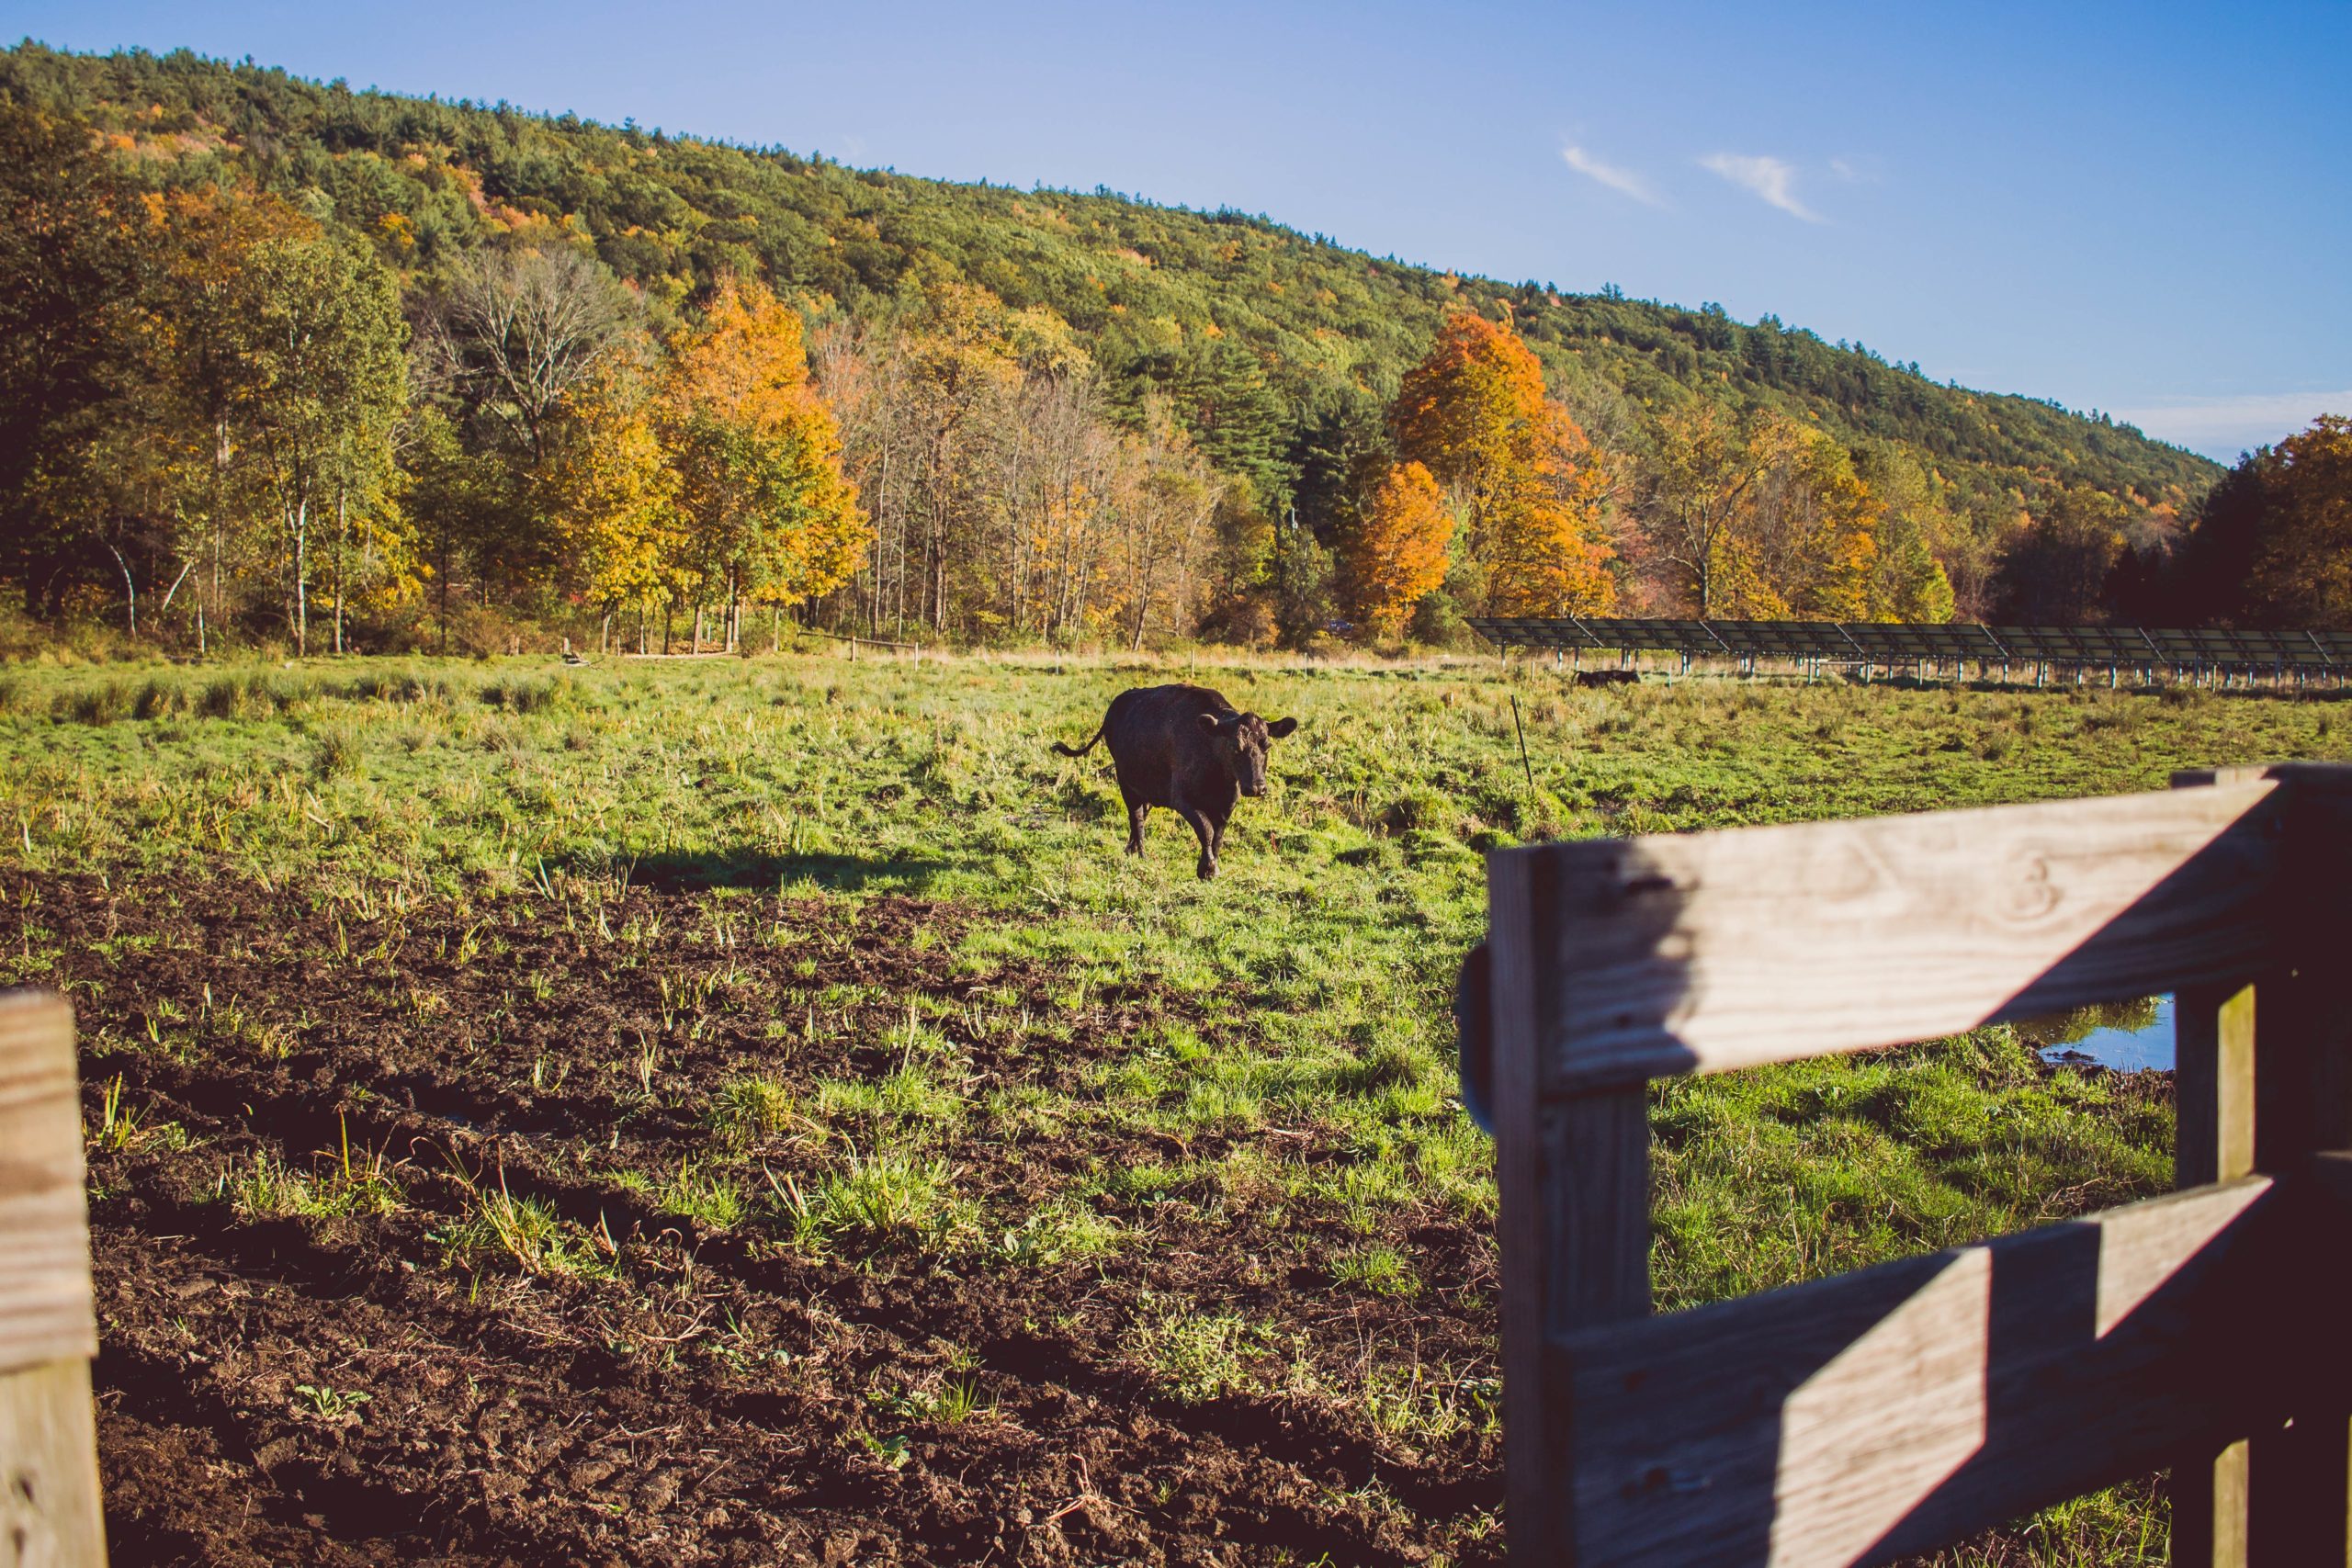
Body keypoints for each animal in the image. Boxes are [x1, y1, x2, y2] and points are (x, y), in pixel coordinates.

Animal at [1053, 686, 1298, 884]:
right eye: (1235, 747)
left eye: (1267, 746)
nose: (1257, 787)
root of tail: (1117, 704)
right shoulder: (1181, 799)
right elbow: (1206, 830)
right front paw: (1206, 869)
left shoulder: (1226, 805)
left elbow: (1217, 837)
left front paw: (1212, 868)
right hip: (1125, 780)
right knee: (1136, 817)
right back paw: (1141, 854)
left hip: (1146, 786)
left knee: (1141, 814)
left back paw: (1130, 849)